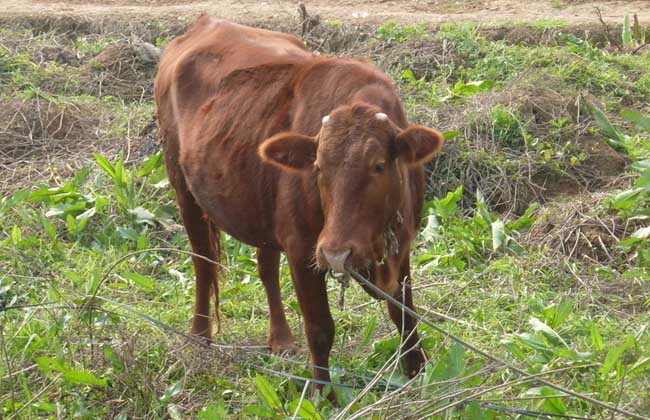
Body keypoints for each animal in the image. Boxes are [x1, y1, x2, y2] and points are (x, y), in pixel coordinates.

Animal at [154, 15, 442, 390]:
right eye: (318, 167)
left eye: (379, 165)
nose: (336, 255)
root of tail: (205, 24)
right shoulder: (303, 249)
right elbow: (320, 329)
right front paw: (324, 395)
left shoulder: (402, 245)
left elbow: (405, 314)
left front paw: (418, 375)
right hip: (183, 188)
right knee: (204, 263)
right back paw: (200, 336)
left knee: (265, 266)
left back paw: (281, 338)